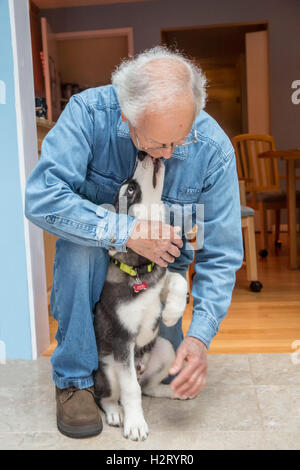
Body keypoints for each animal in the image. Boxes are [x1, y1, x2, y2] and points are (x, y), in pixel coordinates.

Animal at [94, 153, 188, 440]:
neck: (138, 269)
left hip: (165, 349)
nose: (142, 154)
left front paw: (170, 315)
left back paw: (168, 390)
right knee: (111, 395)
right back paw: (116, 413)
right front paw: (135, 424)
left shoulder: (159, 280)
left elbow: (178, 281)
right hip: (108, 367)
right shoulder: (122, 339)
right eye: (130, 190)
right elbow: (131, 390)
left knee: (147, 387)